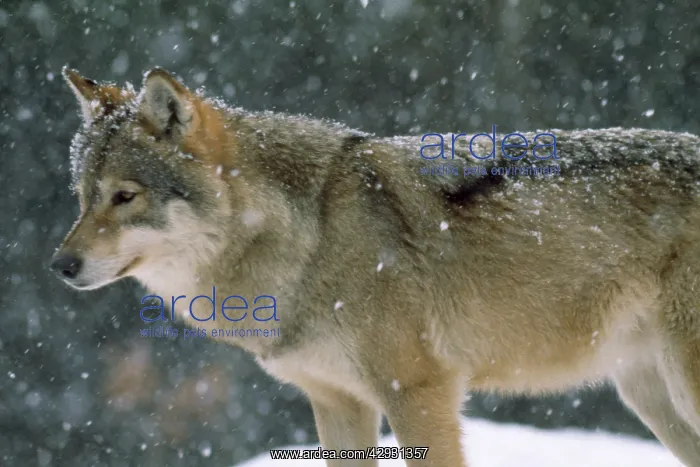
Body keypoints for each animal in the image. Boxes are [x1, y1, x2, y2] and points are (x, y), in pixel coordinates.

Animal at [50, 65, 700, 467]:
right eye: (82, 198)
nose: (60, 266)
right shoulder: (338, 403)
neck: (309, 238)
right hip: (651, 397)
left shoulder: (417, 392)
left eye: (125, 197)